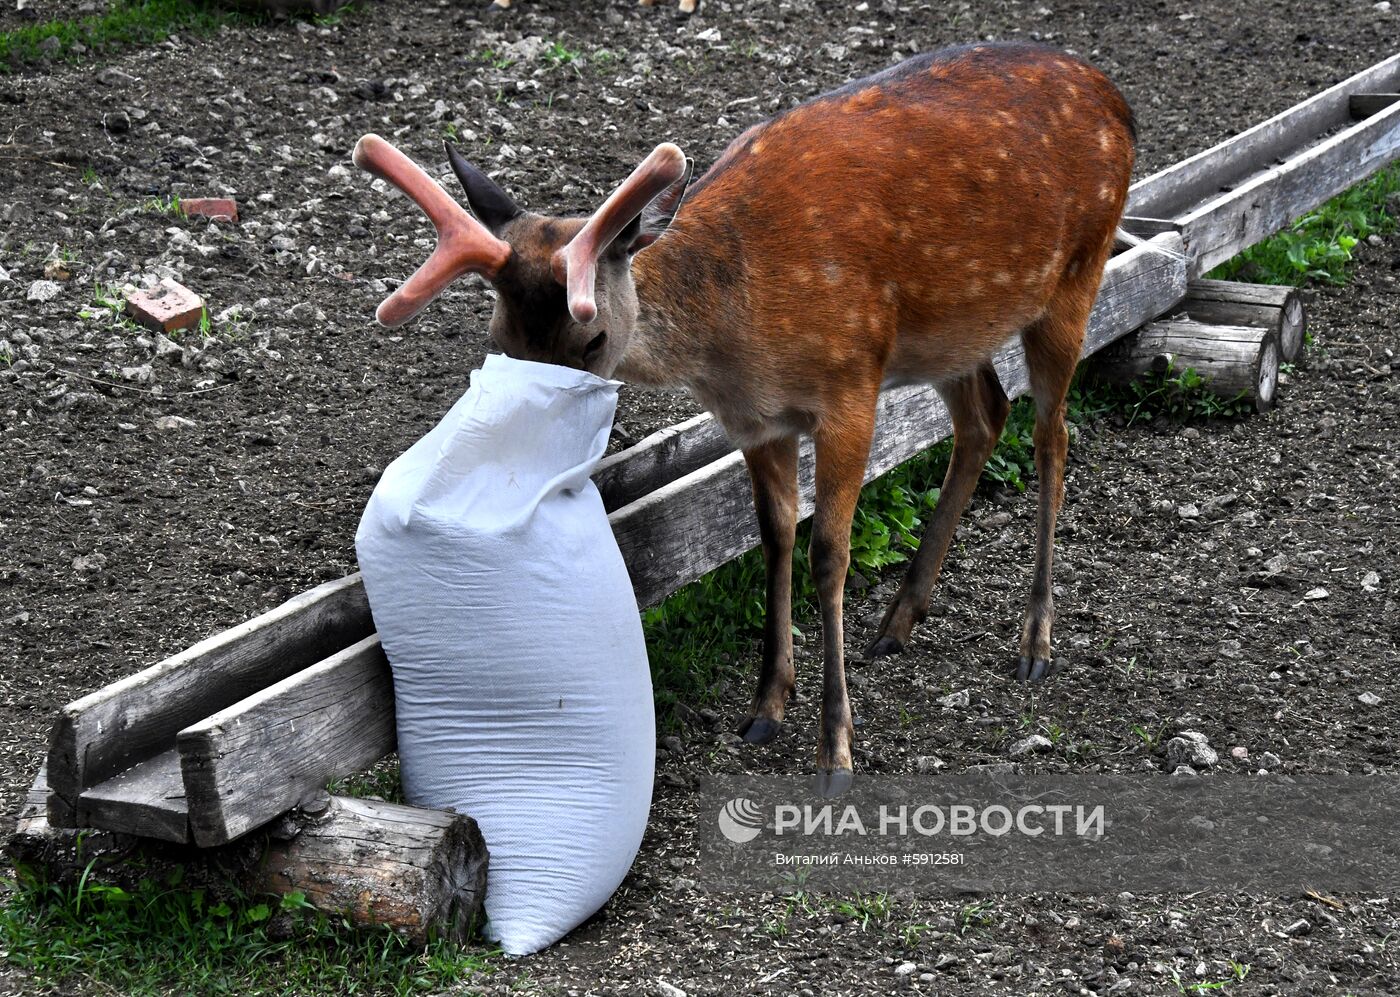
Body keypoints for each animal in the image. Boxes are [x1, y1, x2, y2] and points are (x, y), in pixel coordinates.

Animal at [358, 44, 1136, 795]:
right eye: (497, 337)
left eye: (593, 338)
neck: (736, 340)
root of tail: (1116, 98)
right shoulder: (756, 420)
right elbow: (774, 536)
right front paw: (765, 706)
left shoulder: (851, 384)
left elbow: (829, 552)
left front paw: (834, 750)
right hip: (956, 329)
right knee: (986, 415)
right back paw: (900, 619)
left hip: (1078, 272)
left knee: (1053, 434)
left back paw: (1035, 642)